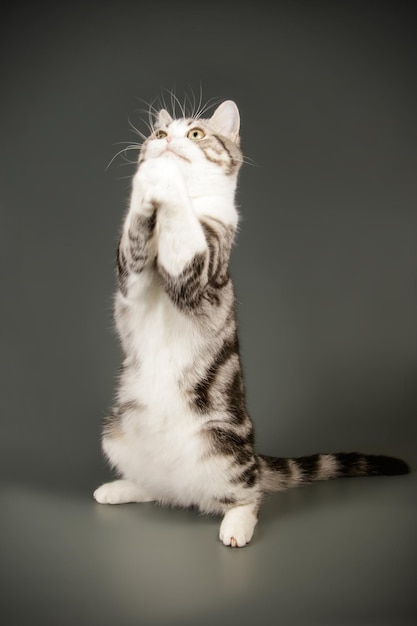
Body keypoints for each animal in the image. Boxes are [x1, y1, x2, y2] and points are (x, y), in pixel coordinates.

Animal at [92, 100, 408, 544]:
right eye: (160, 133)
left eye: (195, 134)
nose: (166, 141)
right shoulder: (132, 280)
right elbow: (133, 243)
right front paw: (149, 176)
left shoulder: (200, 272)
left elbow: (184, 236)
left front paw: (166, 179)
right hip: (116, 431)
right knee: (158, 488)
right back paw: (126, 487)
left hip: (223, 446)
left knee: (250, 494)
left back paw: (237, 524)